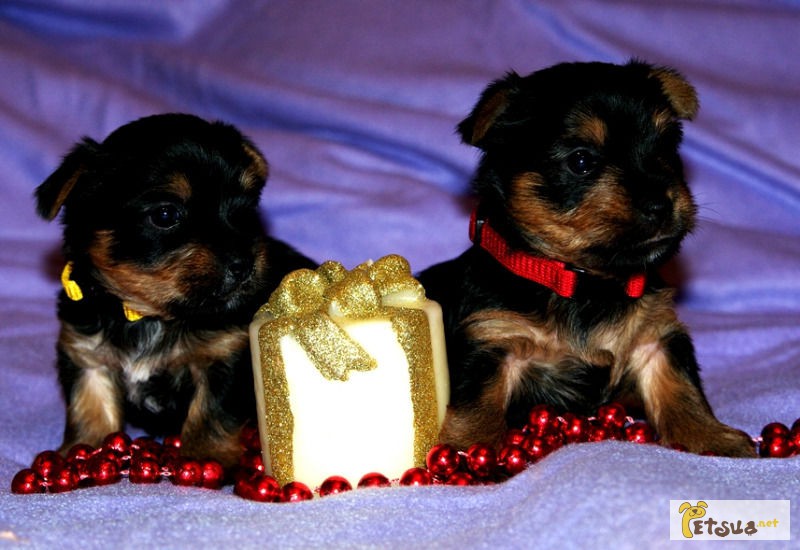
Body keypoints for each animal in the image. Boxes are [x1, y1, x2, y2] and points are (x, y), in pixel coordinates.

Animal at [418, 59, 756, 458]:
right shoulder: (492, 338)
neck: (585, 280)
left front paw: (713, 437)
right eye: (581, 161)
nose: (660, 204)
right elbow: (478, 403)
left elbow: (682, 387)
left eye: (668, 146)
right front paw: (470, 453)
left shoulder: (656, 337)